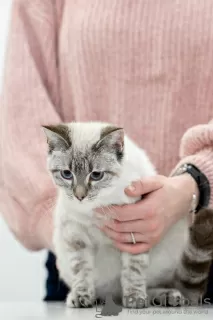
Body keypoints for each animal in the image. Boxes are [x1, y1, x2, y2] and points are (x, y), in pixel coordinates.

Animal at [42, 122, 213, 308]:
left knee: (149, 285)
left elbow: (133, 272)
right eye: (67, 174)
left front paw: (134, 297)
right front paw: (82, 296)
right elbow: (81, 272)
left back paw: (165, 296)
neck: (97, 208)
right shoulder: (75, 236)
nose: (80, 196)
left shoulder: (135, 235)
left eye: (96, 175)